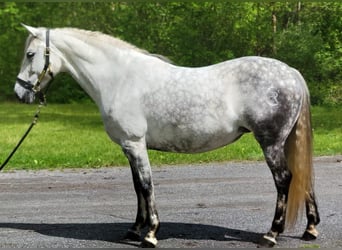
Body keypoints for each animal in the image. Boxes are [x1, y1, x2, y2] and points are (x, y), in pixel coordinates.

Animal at [12, 24, 318, 247]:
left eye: (30, 55)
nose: (19, 93)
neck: (120, 78)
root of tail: (291, 73)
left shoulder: (135, 144)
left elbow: (147, 186)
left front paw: (150, 234)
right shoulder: (129, 147)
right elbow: (137, 187)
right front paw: (134, 230)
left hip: (271, 143)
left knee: (284, 180)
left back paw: (271, 234)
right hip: (286, 143)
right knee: (302, 176)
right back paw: (310, 230)